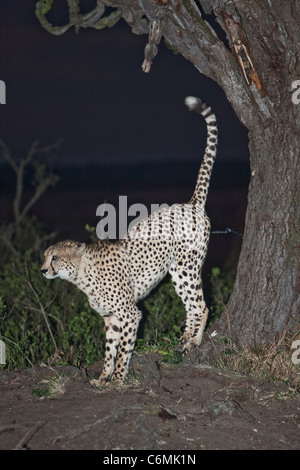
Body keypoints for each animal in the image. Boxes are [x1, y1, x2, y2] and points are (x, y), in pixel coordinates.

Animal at [40, 96, 218, 386]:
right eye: (45, 256)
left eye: (55, 257)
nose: (43, 270)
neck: (81, 275)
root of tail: (190, 204)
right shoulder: (111, 317)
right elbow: (109, 349)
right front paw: (102, 377)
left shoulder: (130, 314)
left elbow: (124, 348)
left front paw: (118, 378)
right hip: (177, 272)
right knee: (191, 303)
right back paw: (185, 338)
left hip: (187, 266)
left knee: (201, 305)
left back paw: (195, 340)